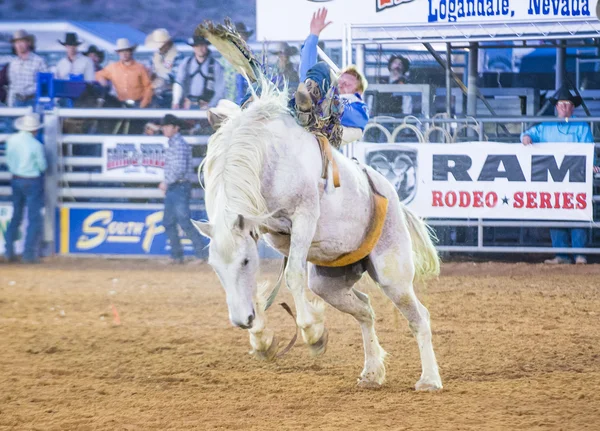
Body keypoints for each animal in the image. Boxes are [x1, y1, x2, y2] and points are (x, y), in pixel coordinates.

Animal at [192, 78, 440, 392]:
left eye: (245, 262)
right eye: (215, 267)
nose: (241, 321)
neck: (267, 156)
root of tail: (391, 194)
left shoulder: (304, 217)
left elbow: (293, 275)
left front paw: (312, 333)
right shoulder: (259, 226)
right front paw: (262, 339)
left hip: (393, 275)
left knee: (420, 317)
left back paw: (429, 379)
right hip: (328, 283)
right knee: (365, 309)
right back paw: (372, 372)